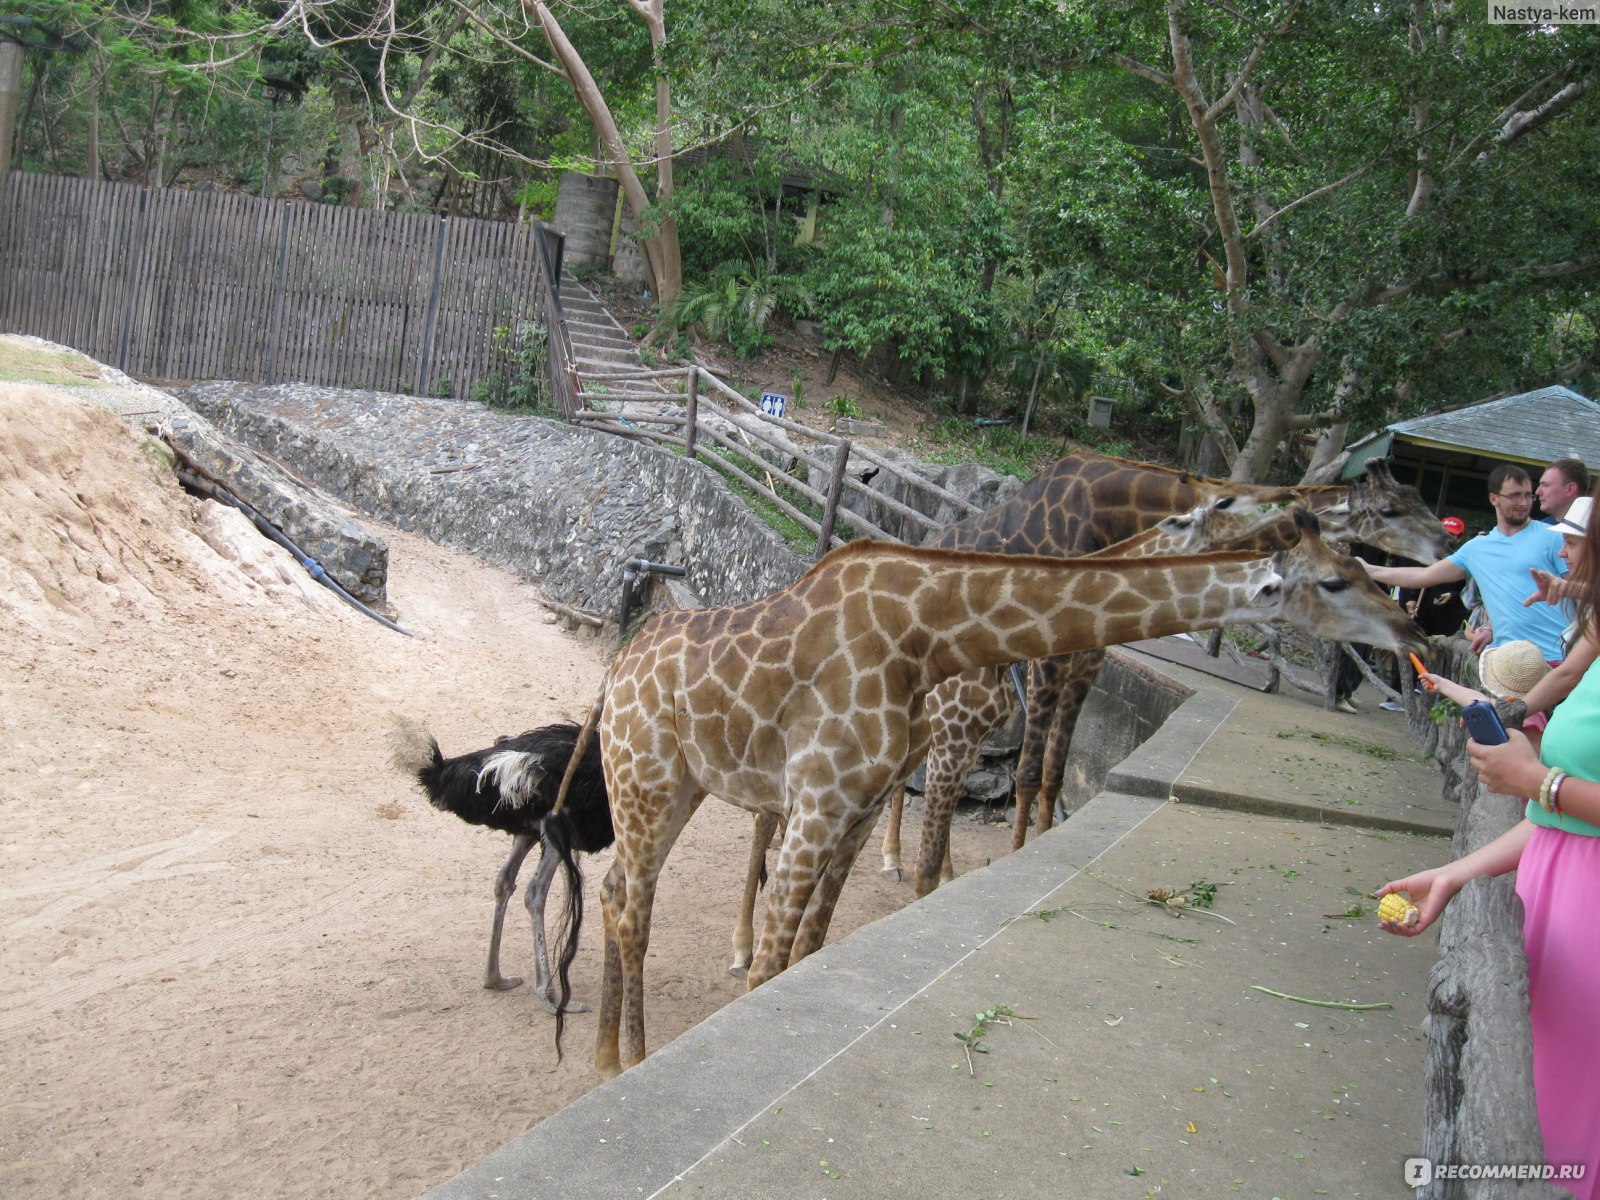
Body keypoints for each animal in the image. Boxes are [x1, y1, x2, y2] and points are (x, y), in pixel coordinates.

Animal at [550, 508, 1427, 1081]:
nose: (1414, 632)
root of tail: (617, 665)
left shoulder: (857, 803)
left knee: (622, 888)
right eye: (1336, 579)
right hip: (649, 777)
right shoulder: (828, 796)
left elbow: (812, 947)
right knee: (634, 902)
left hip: (679, 785)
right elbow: (773, 964)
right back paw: (625, 1063)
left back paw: (606, 1055)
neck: (930, 636)